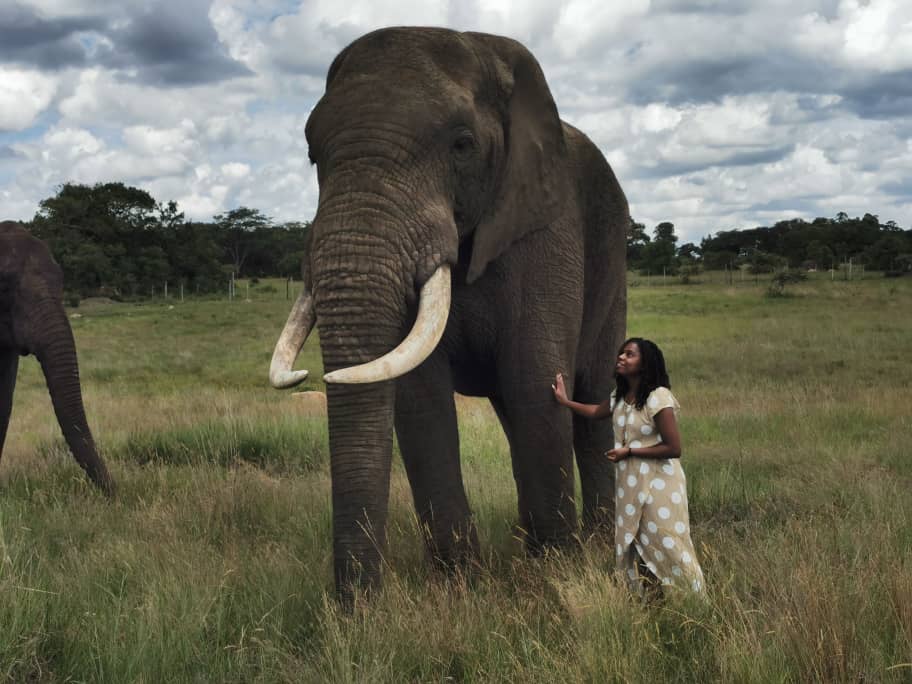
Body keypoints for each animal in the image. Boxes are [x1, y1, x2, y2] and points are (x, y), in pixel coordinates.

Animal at [268, 26, 628, 600]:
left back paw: (594, 542)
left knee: (592, 395)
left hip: (612, 265)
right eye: (310, 154)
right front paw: (460, 587)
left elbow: (535, 382)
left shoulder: (547, 226)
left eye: (462, 145)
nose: (355, 610)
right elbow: (421, 400)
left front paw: (555, 575)